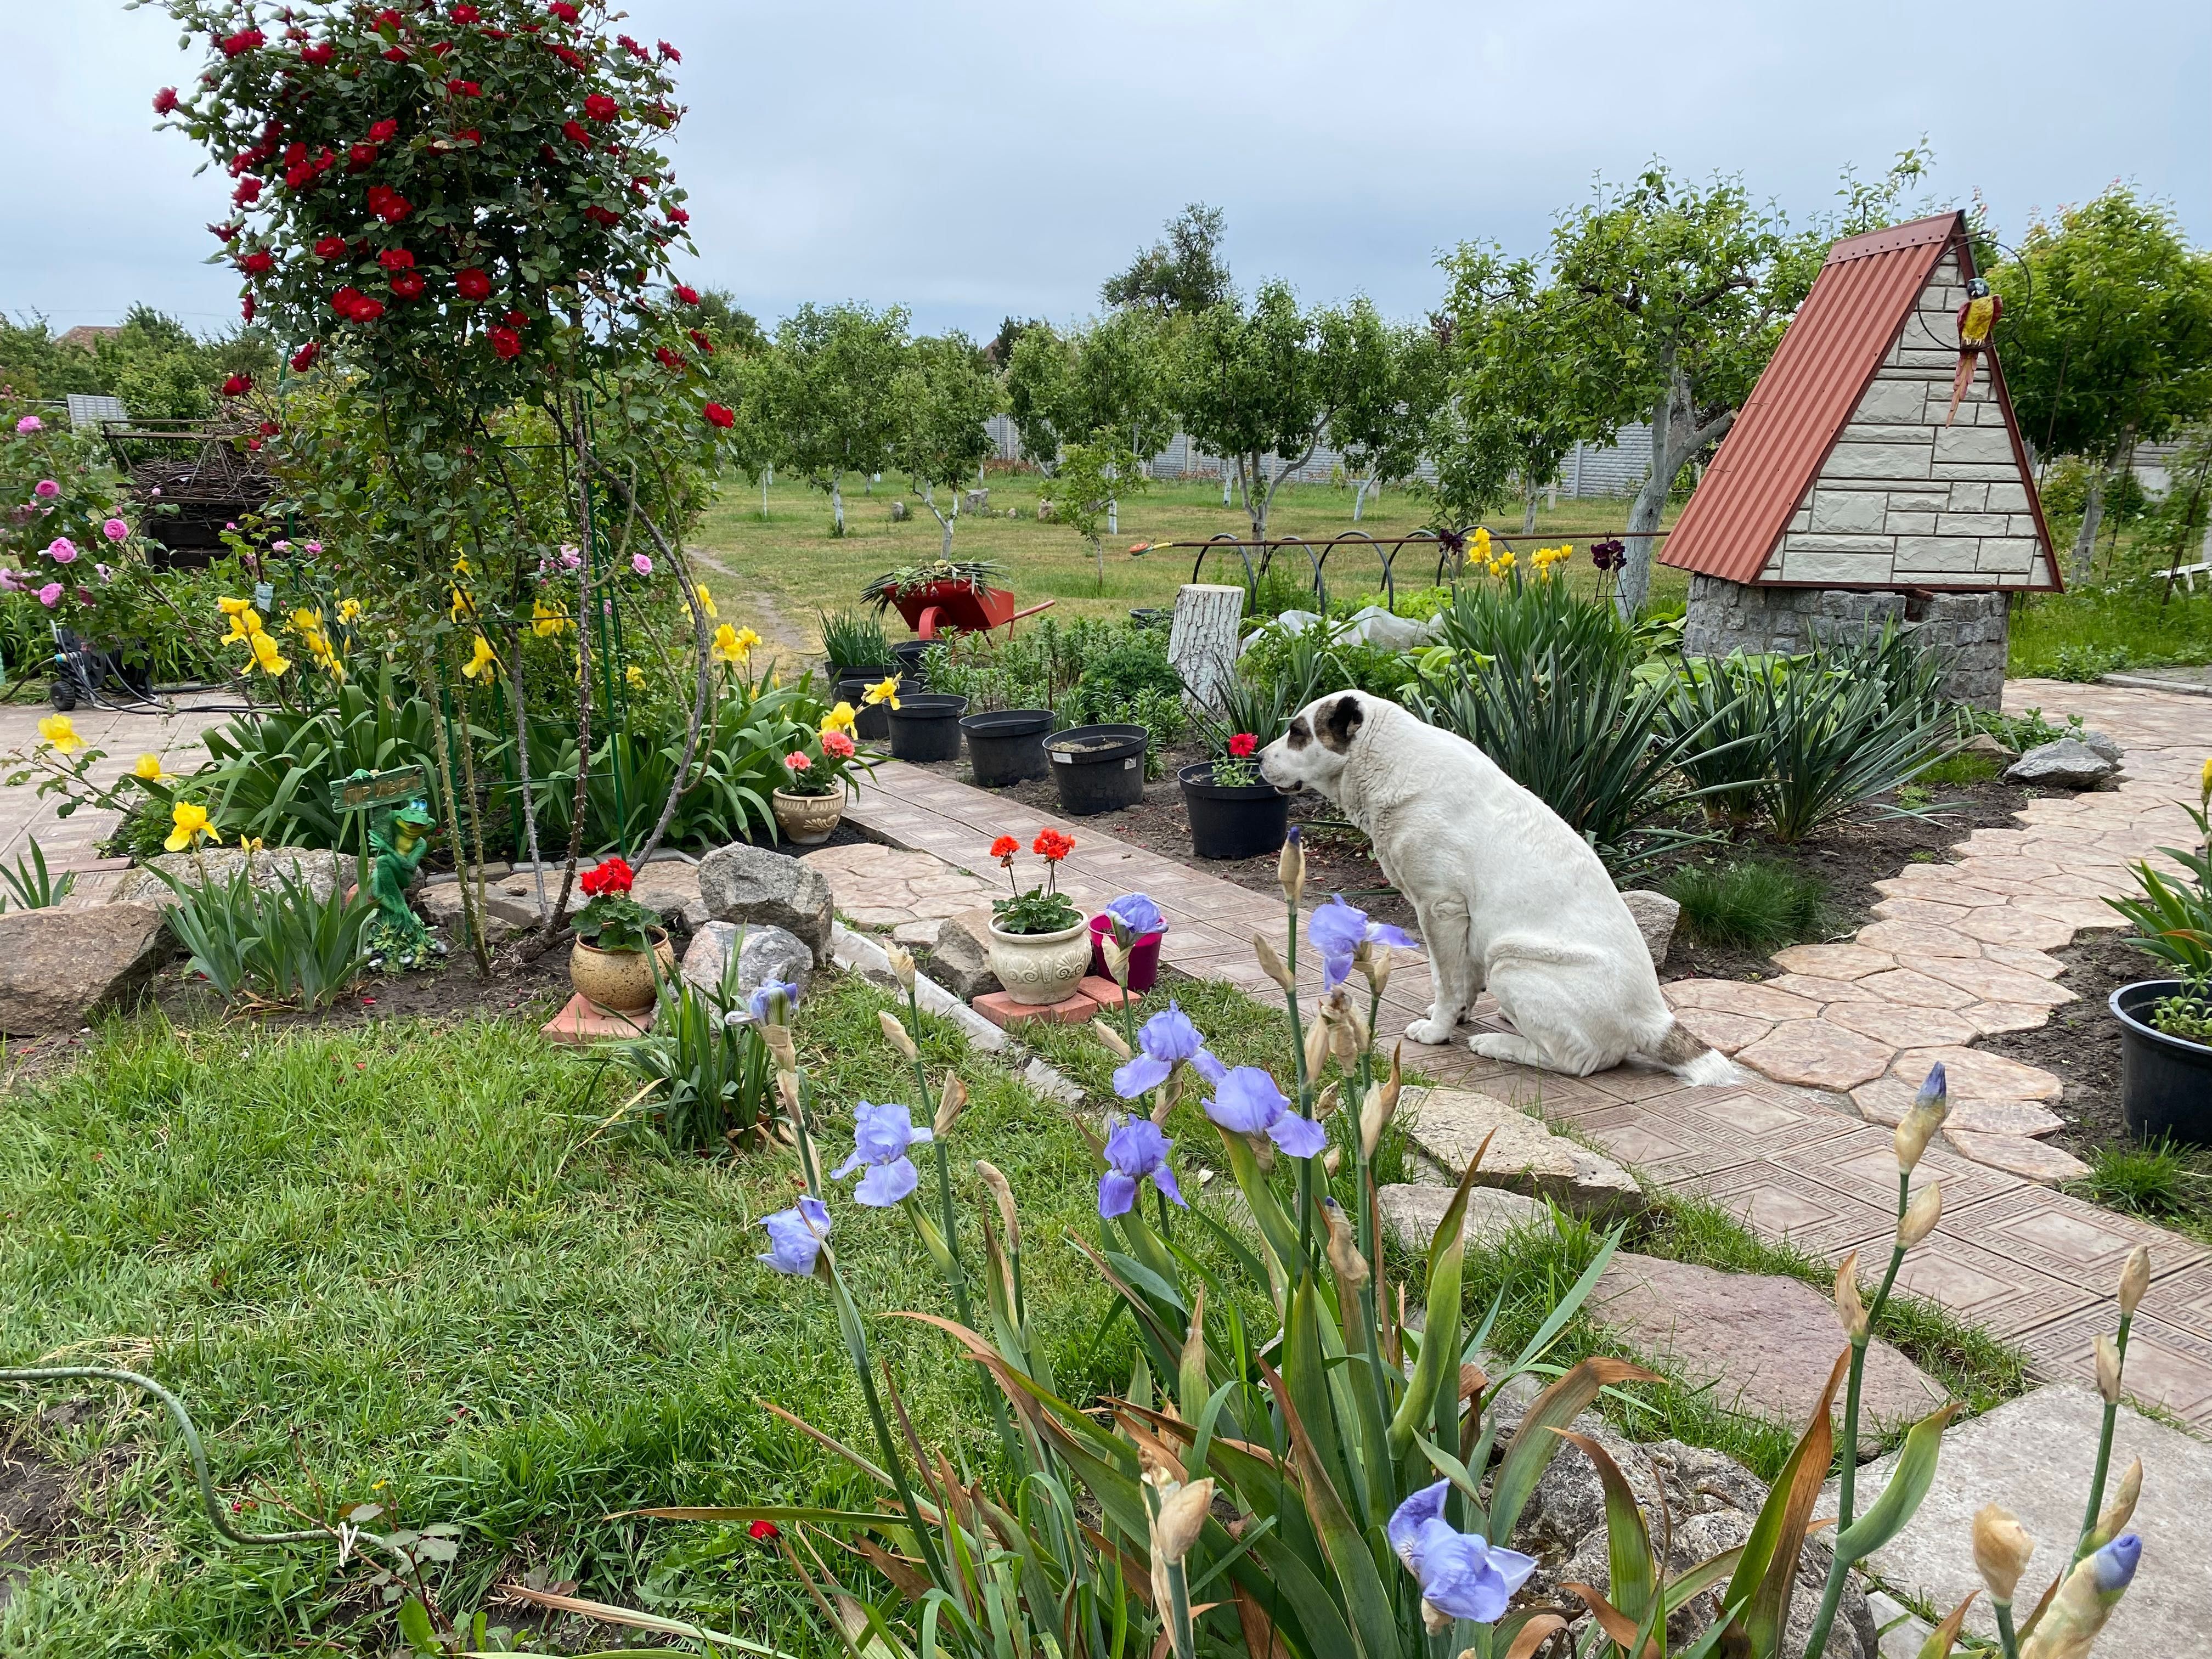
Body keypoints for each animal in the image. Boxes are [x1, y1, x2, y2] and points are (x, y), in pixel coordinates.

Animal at [1274, 690, 1734, 1092]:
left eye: (1298, 732)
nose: (1259, 757)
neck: (1385, 757)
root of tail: (1654, 1020)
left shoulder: (1439, 908)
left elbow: (1444, 978)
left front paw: (1438, 1031)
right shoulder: (1460, 918)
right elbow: (1462, 977)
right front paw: (1458, 1015)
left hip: (1512, 962)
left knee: (1579, 1060)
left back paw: (1497, 1044)